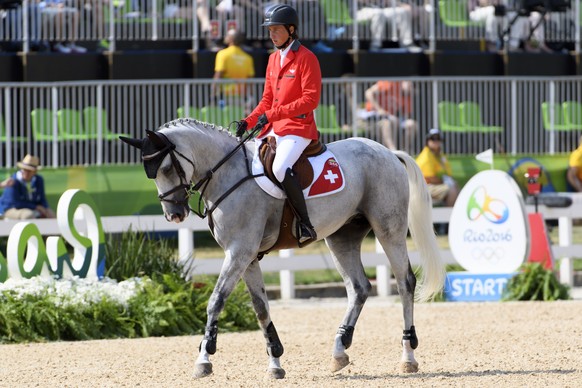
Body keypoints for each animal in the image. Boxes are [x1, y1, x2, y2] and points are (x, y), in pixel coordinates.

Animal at [120, 118, 448, 378]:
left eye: (166, 168)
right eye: (151, 173)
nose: (174, 215)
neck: (227, 174)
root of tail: (388, 152)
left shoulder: (239, 251)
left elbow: (216, 300)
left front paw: (204, 358)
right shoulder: (247, 257)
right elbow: (261, 307)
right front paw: (275, 362)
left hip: (388, 229)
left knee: (405, 283)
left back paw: (408, 356)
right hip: (342, 236)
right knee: (359, 288)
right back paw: (339, 351)